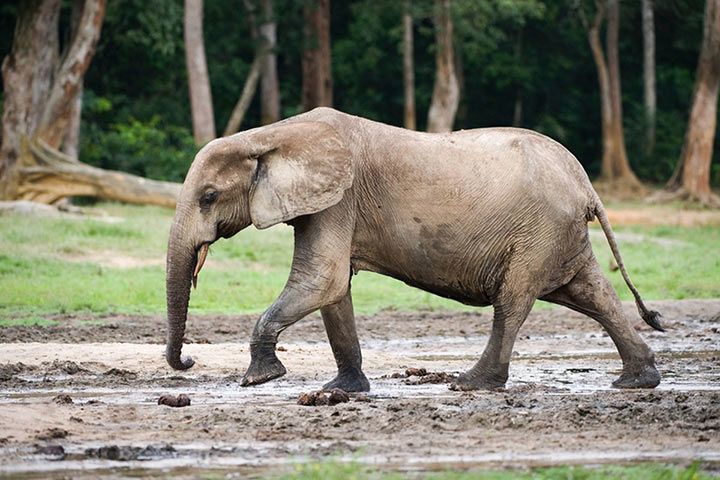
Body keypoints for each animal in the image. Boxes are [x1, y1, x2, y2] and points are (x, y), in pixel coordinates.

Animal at [165, 107, 664, 392]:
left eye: (208, 197)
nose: (188, 360)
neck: (269, 136)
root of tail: (585, 183)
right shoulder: (332, 204)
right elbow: (334, 291)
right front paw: (342, 390)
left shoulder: (339, 199)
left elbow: (321, 279)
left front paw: (259, 378)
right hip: (558, 235)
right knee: (593, 294)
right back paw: (636, 381)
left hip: (538, 232)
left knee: (513, 300)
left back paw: (471, 385)